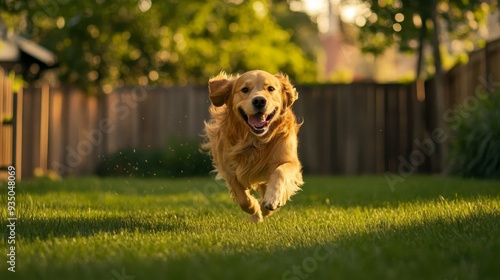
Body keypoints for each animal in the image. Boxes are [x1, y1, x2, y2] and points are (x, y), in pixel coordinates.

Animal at [201, 70, 302, 223]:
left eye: (271, 88)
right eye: (245, 89)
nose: (259, 100)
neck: (255, 140)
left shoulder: (290, 161)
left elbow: (279, 172)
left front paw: (271, 201)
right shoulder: (228, 168)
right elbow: (242, 198)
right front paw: (255, 209)